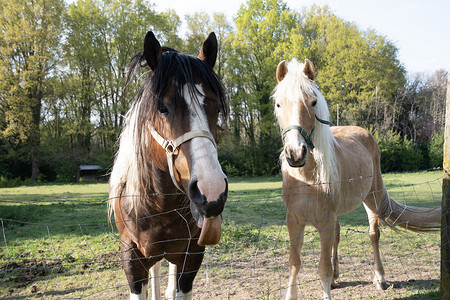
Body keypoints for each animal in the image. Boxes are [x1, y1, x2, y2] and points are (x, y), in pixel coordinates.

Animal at [109, 31, 229, 298]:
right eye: (162, 107)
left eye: (217, 108)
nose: (212, 191)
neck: (159, 207)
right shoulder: (131, 260)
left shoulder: (192, 255)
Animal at [272, 58, 442, 300]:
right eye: (278, 104)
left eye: (313, 102)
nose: (295, 153)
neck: (306, 179)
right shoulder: (293, 221)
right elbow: (294, 263)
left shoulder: (325, 222)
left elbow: (323, 269)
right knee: (338, 236)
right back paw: (337, 278)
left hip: (372, 199)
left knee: (374, 235)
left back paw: (379, 278)